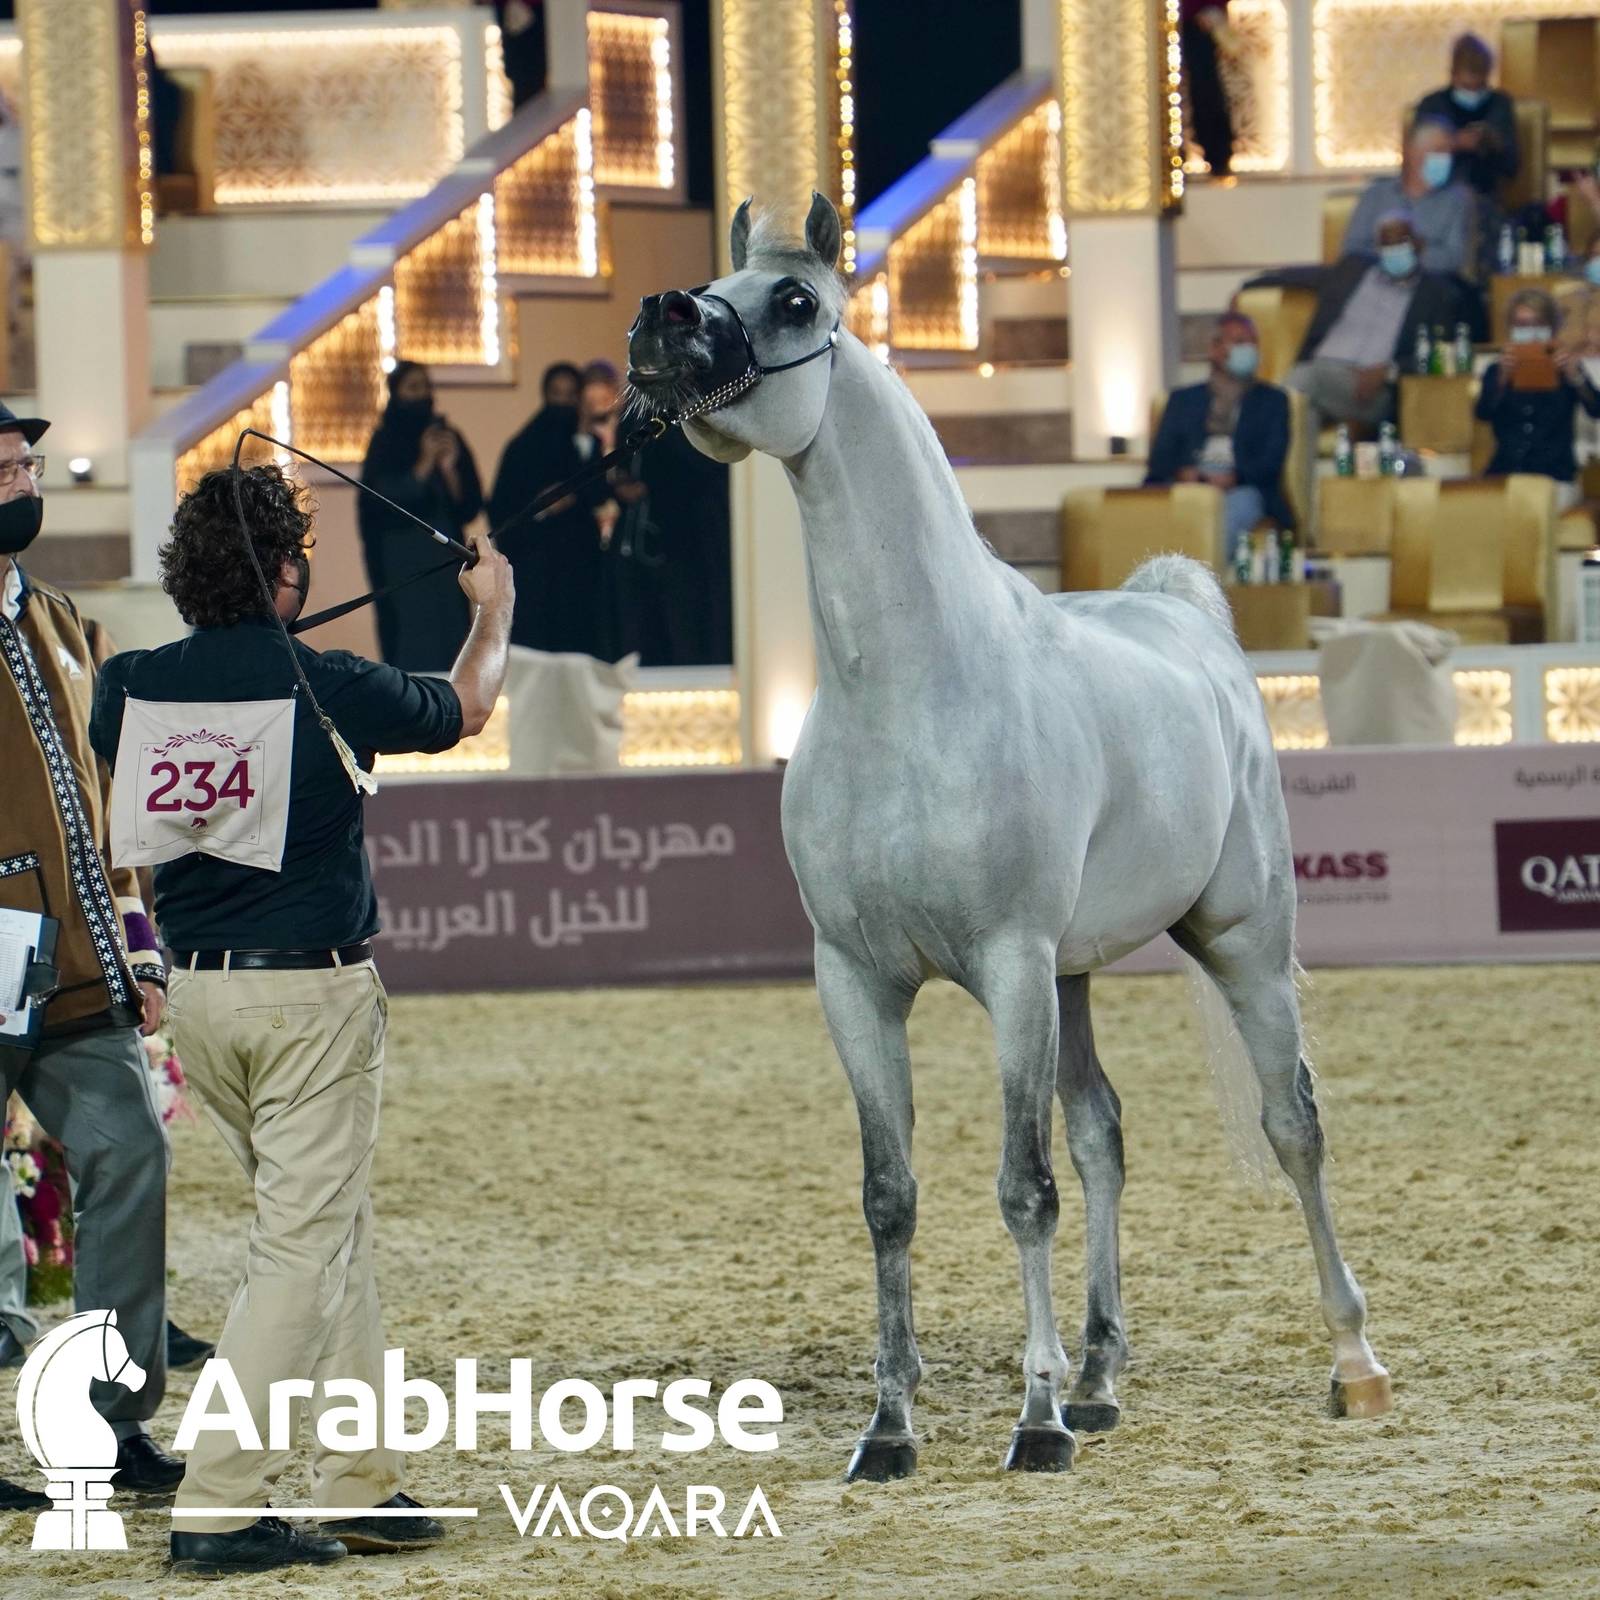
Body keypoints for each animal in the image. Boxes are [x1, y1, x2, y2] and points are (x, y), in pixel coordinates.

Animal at [625, 192, 1392, 1481]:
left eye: (794, 300)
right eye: (715, 280)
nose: (657, 321)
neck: (908, 691)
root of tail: (1182, 607)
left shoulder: (1009, 965)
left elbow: (1021, 1187)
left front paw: (1031, 1424)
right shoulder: (856, 982)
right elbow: (892, 1194)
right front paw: (890, 1427)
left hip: (1233, 940)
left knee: (1292, 1125)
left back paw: (1351, 1364)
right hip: (1076, 975)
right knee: (1104, 1136)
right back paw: (1099, 1379)